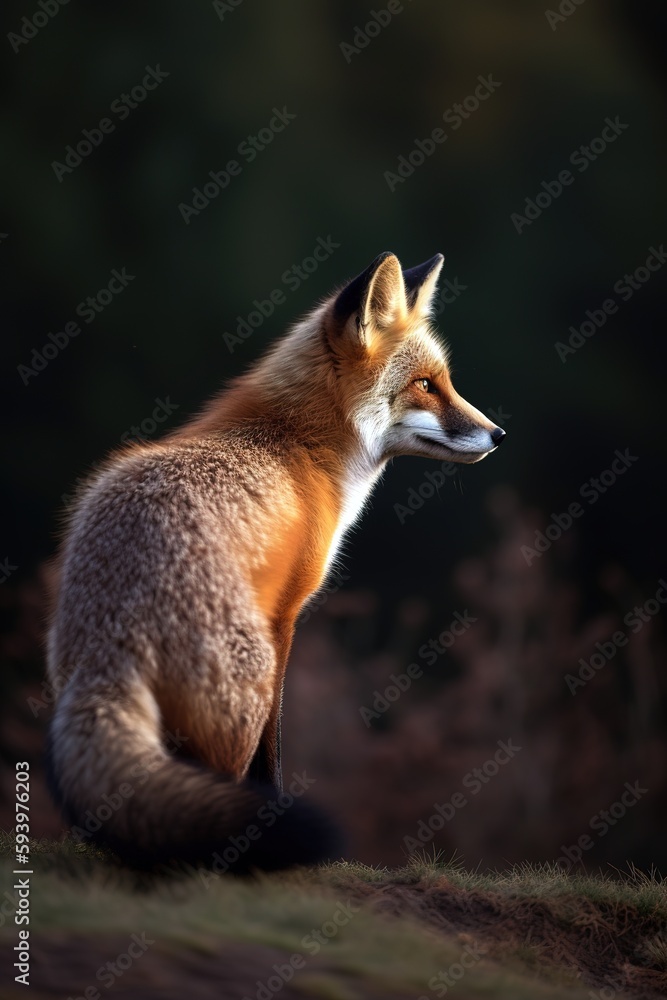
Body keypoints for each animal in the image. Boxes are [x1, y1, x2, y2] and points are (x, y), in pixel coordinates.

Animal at [45, 251, 506, 871]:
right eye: (426, 386)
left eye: (446, 382)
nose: (497, 433)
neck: (296, 446)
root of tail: (113, 639)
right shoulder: (284, 616)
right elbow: (275, 747)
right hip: (247, 681)